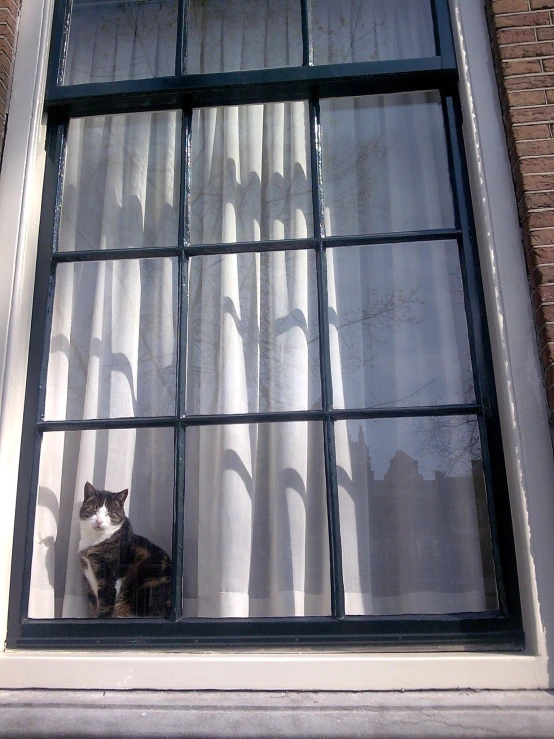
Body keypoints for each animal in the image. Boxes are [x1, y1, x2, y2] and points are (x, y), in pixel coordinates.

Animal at [77, 482, 171, 620]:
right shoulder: (87, 575)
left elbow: (105, 603)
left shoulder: (108, 575)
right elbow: (93, 606)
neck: (95, 541)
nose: (99, 521)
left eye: (109, 513)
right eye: (94, 509)